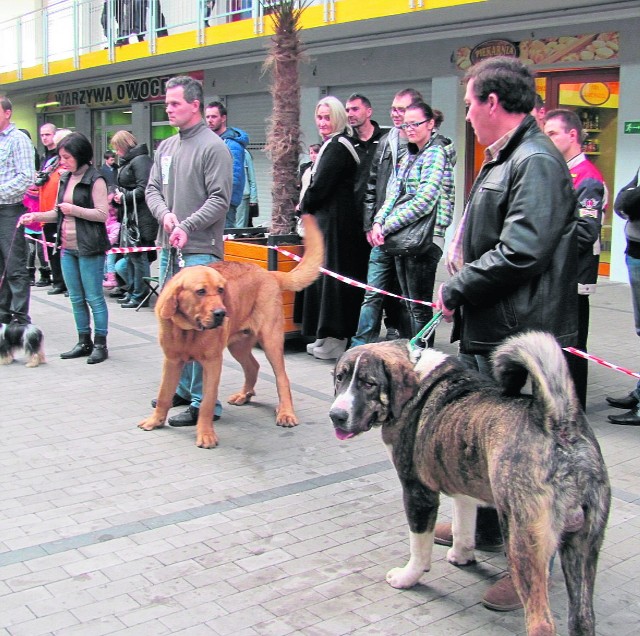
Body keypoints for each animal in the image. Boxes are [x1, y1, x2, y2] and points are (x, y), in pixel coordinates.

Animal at [138, 216, 322, 450]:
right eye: (200, 291)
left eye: (221, 290)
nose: (221, 313)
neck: (188, 329)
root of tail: (268, 273)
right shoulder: (171, 361)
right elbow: (163, 394)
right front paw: (155, 420)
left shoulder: (212, 363)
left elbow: (207, 403)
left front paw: (206, 434)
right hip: (238, 345)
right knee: (253, 366)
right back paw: (245, 395)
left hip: (271, 340)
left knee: (282, 378)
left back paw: (285, 412)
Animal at [330, 332, 608, 636]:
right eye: (340, 378)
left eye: (369, 384)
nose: (337, 416)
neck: (416, 377)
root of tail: (559, 424)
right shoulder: (461, 482)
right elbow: (462, 524)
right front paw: (461, 554)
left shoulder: (418, 493)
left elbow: (419, 545)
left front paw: (409, 576)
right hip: (584, 545)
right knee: (583, 617)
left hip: (523, 538)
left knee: (541, 621)